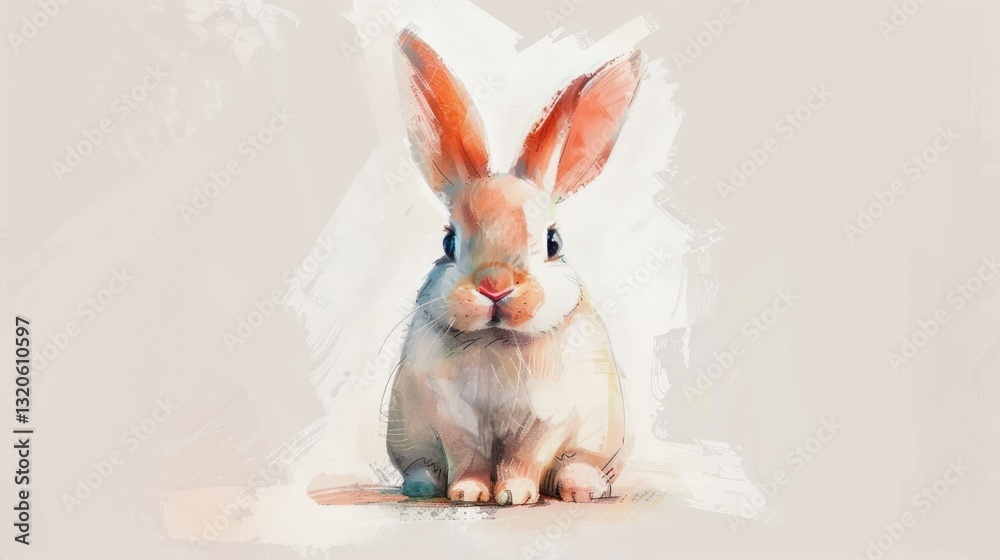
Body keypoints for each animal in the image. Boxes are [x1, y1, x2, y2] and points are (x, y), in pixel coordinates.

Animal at [385, 27, 645, 505]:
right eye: (448, 242)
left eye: (553, 241)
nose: (495, 285)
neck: (497, 341)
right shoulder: (455, 423)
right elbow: (468, 458)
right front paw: (468, 494)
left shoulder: (547, 421)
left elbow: (525, 459)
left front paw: (513, 494)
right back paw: (422, 485)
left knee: (578, 465)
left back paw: (581, 488)